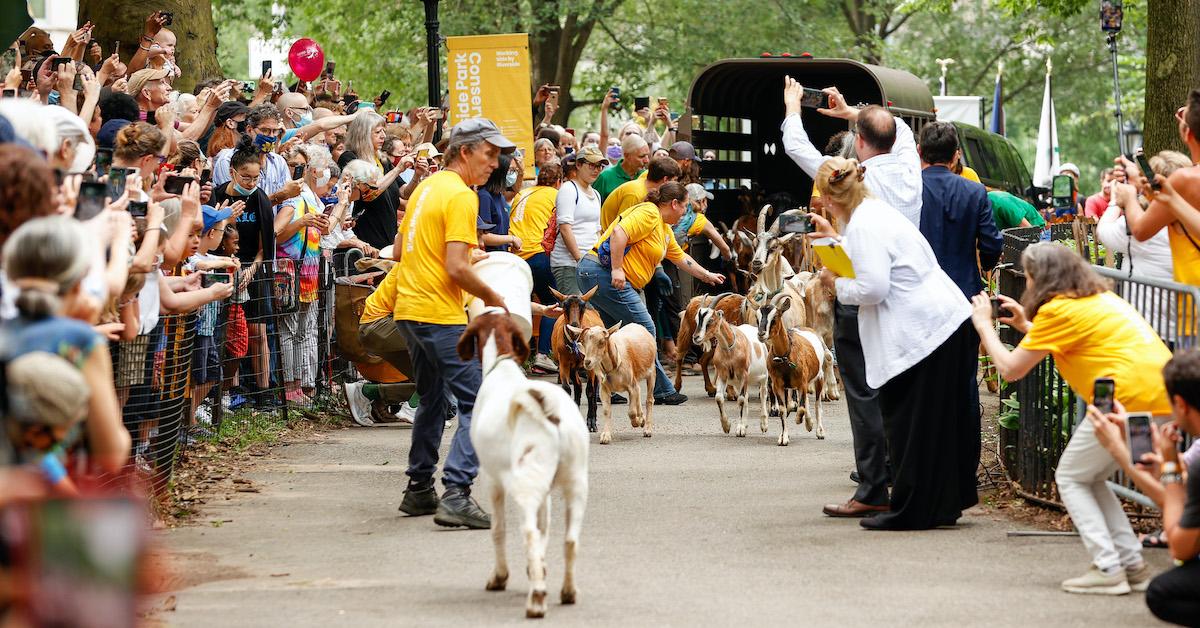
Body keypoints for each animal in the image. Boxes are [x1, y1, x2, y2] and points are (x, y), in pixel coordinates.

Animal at [456, 312, 588, 614]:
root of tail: (548, 409)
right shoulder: (545, 493)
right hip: (574, 483)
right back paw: (568, 592)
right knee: (570, 540)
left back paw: (536, 599)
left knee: (527, 533)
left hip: (526, 487)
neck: (501, 365)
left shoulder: (493, 481)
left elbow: (499, 530)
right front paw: (537, 567)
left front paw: (500, 577)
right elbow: (544, 532)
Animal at [549, 289, 604, 432]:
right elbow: (567, 388)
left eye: (582, 306)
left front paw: (591, 423)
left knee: (593, 389)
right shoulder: (564, 363)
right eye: (564, 306)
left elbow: (590, 390)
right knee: (578, 386)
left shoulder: (590, 366)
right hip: (573, 368)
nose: (574, 325)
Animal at [758, 296, 825, 446]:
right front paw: (783, 437)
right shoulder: (777, 385)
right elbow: (783, 410)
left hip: (819, 377)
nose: (761, 334)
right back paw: (809, 423)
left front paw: (799, 420)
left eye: (775, 317)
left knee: (817, 404)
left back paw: (819, 431)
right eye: (757, 317)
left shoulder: (802, 383)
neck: (785, 357)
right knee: (805, 401)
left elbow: (801, 408)